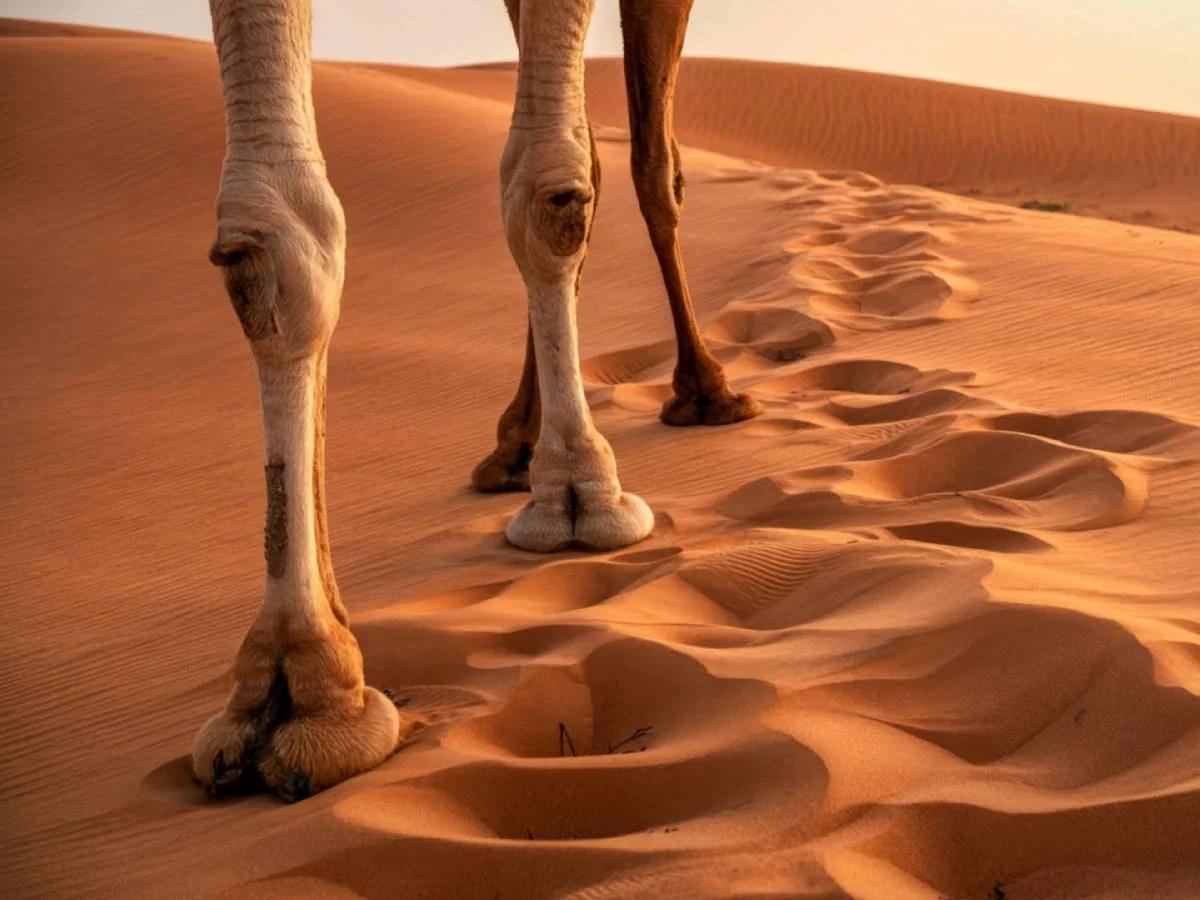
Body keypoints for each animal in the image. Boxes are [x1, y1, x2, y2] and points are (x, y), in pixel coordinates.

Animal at [193, 0, 759, 802]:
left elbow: (547, 181)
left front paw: (581, 489)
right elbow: (277, 240)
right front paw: (301, 677)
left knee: (646, 159)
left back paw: (704, 390)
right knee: (605, 154)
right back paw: (517, 445)